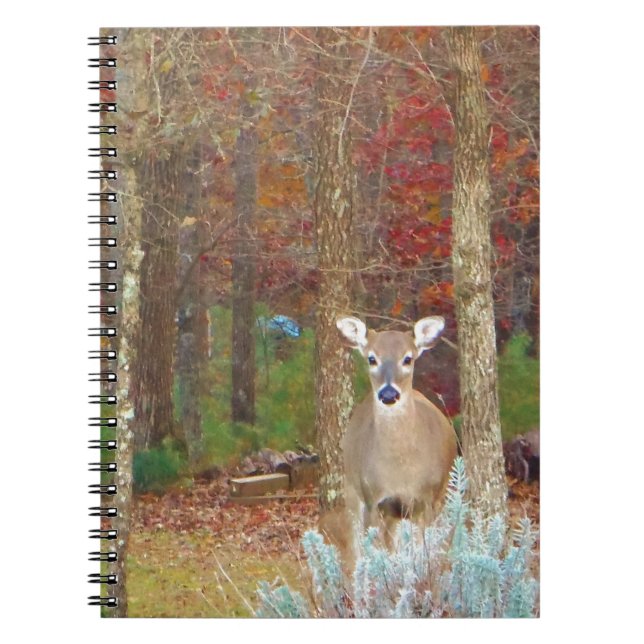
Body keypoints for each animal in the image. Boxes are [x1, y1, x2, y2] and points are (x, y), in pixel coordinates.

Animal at [319, 315, 458, 571]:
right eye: (372, 358)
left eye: (408, 358)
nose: (389, 394)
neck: (401, 469)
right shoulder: (375, 499)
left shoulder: (428, 499)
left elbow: (424, 557)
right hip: (353, 491)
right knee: (356, 549)